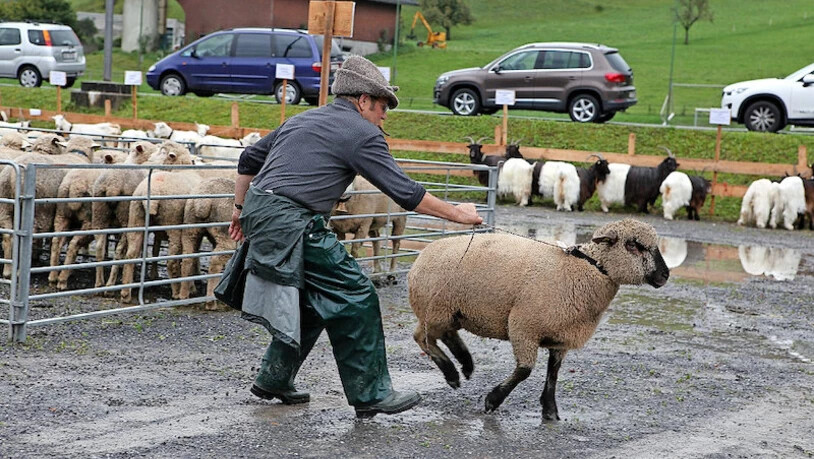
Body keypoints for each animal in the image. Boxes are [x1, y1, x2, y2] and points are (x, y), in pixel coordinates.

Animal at [49, 150, 127, 290]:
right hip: (89, 221)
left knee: (56, 242)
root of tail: (74, 184)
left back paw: (53, 276)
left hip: (62, 215)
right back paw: (62, 279)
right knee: (74, 244)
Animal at [178, 177, 237, 310]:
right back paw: (210, 302)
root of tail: (203, 202)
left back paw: (183, 296)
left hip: (190, 228)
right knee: (215, 262)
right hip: (227, 235)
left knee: (187, 259)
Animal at [408, 218, 669, 421]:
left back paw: (466, 364)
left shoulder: (561, 337)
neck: (581, 270)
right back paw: (452, 373)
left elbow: (553, 373)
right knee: (422, 338)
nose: (665, 275)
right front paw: (492, 400)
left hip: (451, 312)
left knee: (444, 335)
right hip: (436, 309)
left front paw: (550, 410)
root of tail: (423, 254)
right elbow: (524, 370)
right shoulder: (523, 327)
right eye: (633, 245)